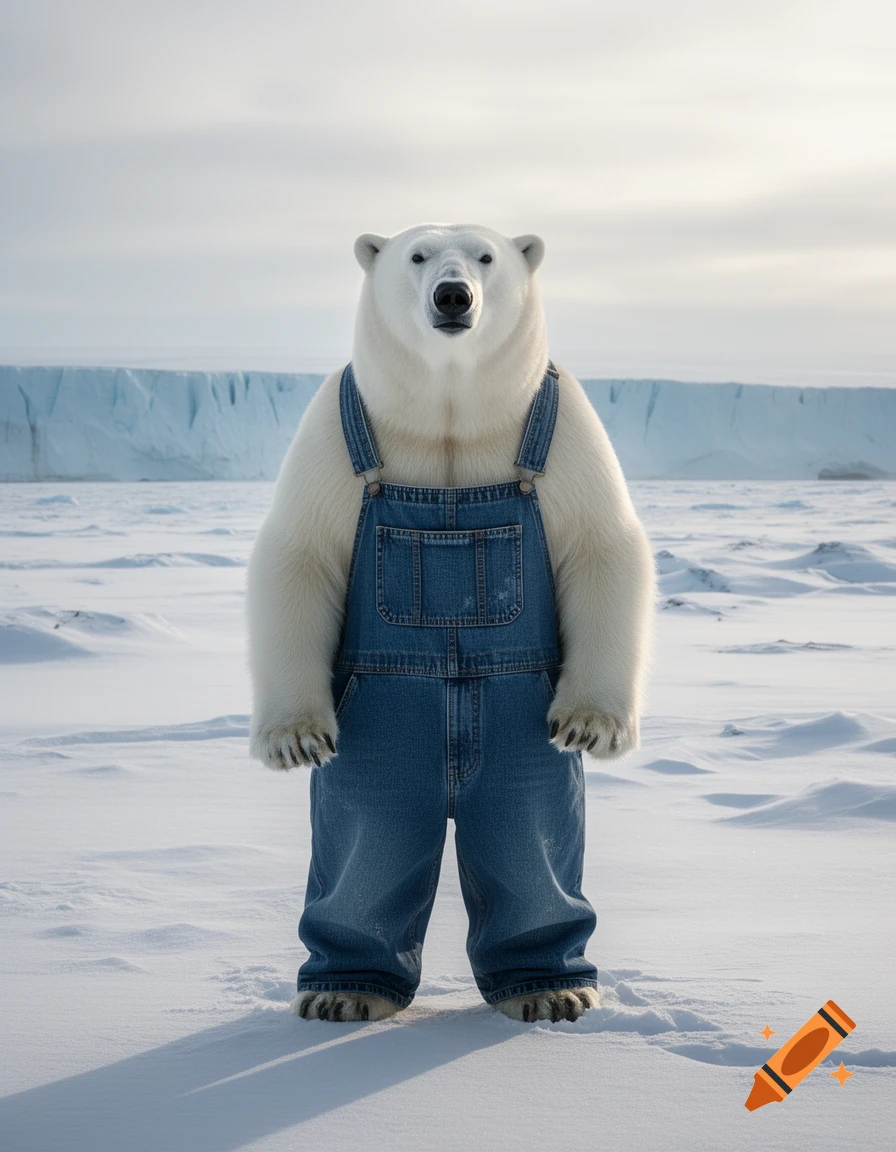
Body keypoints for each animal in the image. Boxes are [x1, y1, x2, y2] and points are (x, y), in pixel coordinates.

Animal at [246, 223, 656, 1024]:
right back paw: (343, 992)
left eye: (487, 257)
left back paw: (553, 990)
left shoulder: (567, 433)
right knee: (368, 831)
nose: (453, 295)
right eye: (416, 256)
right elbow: (297, 554)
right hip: (379, 730)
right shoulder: (331, 433)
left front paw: (594, 727)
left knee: (529, 827)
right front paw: (294, 740)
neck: (449, 409)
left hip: (518, 732)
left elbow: (603, 545)